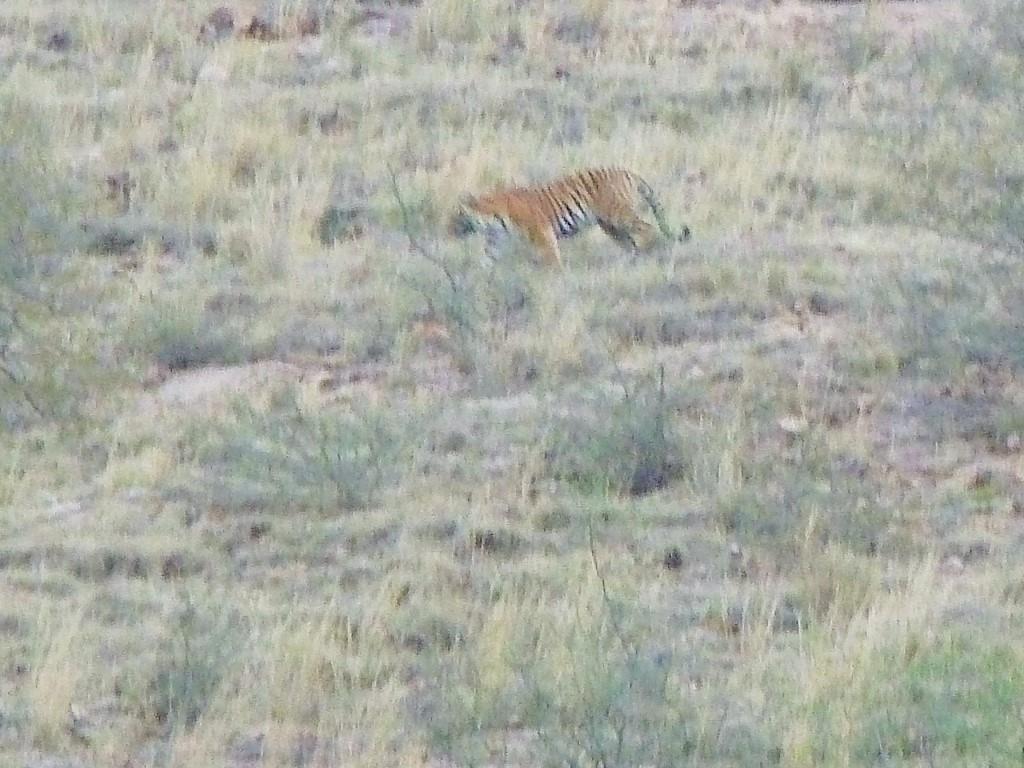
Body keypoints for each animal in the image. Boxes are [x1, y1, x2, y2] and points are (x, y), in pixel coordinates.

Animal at [448, 167, 691, 269]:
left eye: (457, 216)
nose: (448, 230)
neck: (492, 219)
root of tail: (628, 171)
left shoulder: (542, 233)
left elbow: (551, 257)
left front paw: (556, 276)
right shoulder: (495, 241)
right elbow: (487, 259)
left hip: (619, 215)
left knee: (647, 229)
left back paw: (652, 253)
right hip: (609, 225)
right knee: (629, 243)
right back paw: (627, 263)